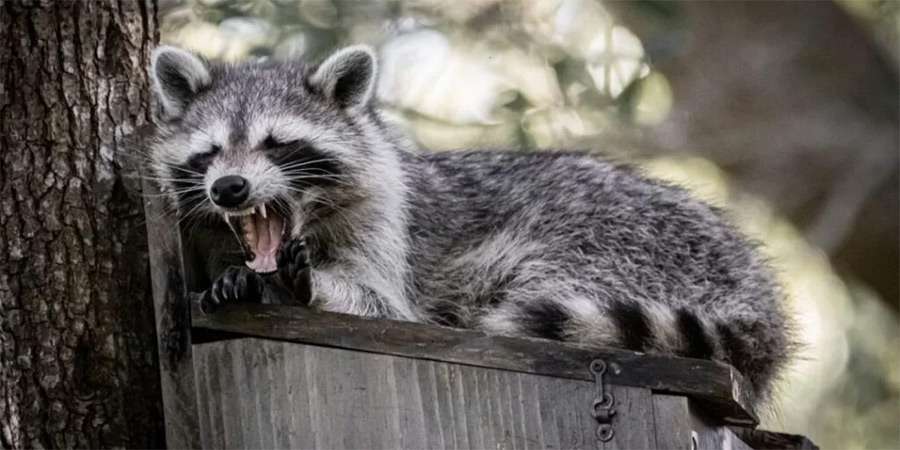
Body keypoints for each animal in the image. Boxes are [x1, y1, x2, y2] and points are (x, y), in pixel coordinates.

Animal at [147, 45, 793, 408]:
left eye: (278, 144)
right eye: (210, 153)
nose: (230, 189)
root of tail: (755, 294)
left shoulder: (388, 225)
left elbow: (385, 307)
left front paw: (303, 284)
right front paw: (238, 277)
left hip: (627, 242)